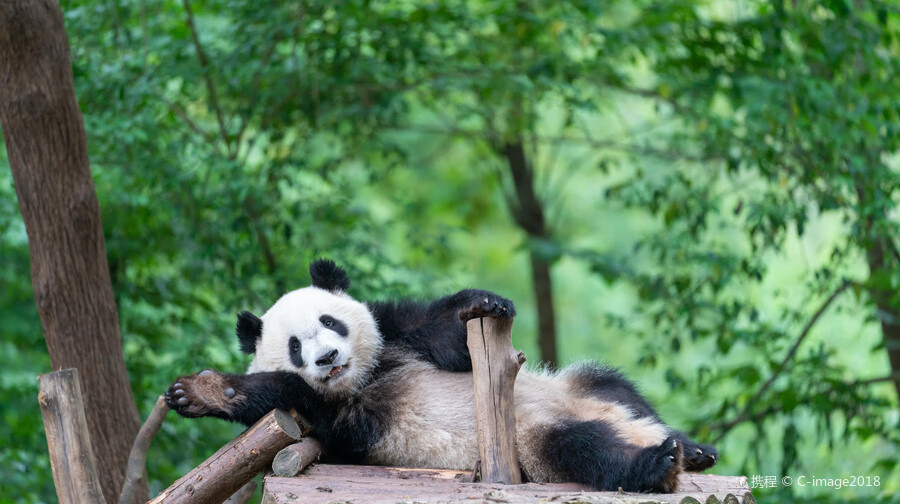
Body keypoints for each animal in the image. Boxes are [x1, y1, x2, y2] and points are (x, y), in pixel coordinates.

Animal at [167, 260, 716, 492]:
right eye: (295, 347)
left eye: (330, 322)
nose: (327, 358)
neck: (365, 376)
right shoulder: (346, 420)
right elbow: (294, 396)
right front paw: (200, 391)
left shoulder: (397, 333)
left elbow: (449, 338)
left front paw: (483, 303)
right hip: (531, 443)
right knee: (582, 450)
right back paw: (658, 463)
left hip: (578, 387)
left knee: (617, 388)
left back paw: (690, 449)